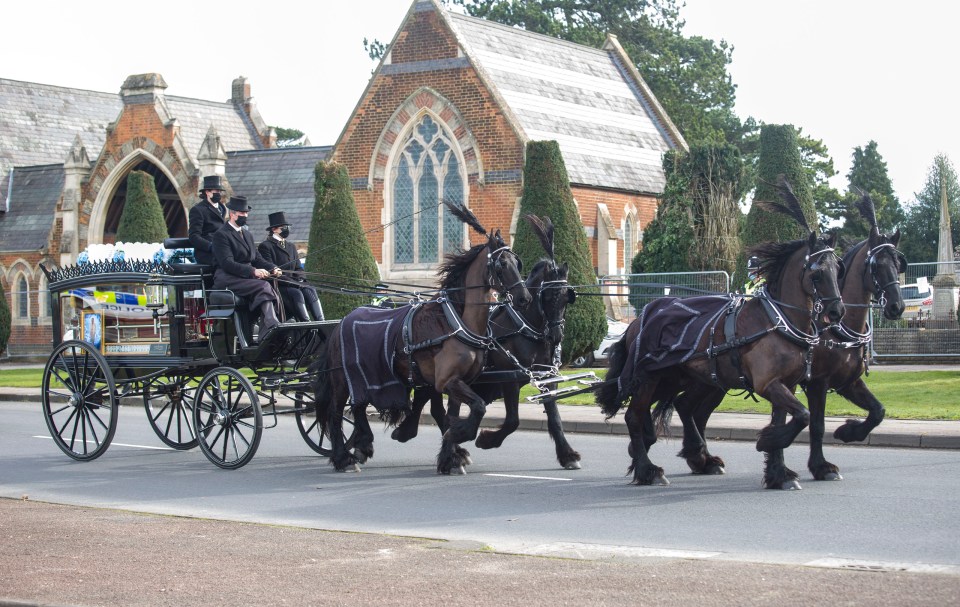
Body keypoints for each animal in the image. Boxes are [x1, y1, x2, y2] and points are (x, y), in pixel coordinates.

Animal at [316, 204, 528, 476]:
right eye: (501, 264)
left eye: (516, 262)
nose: (524, 297)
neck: (455, 322)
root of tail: (341, 322)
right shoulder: (447, 380)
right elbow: (477, 407)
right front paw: (459, 437)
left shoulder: (455, 381)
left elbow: (452, 415)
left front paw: (451, 456)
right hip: (343, 379)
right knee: (336, 411)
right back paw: (343, 457)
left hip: (366, 378)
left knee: (358, 407)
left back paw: (363, 444)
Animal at [388, 216, 576, 472]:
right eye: (547, 296)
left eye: (567, 297)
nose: (556, 335)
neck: (524, 327)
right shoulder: (509, 378)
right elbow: (512, 420)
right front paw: (487, 440)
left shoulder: (547, 377)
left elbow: (554, 418)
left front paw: (567, 455)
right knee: (433, 407)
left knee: (436, 408)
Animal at [596, 179, 844, 490]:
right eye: (816, 273)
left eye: (838, 269)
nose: (837, 311)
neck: (777, 320)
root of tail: (638, 320)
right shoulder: (769, 383)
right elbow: (803, 415)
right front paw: (767, 442)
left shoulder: (786, 383)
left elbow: (791, 418)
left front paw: (778, 472)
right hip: (647, 378)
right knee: (634, 415)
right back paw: (648, 469)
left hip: (677, 377)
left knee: (677, 406)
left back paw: (684, 454)